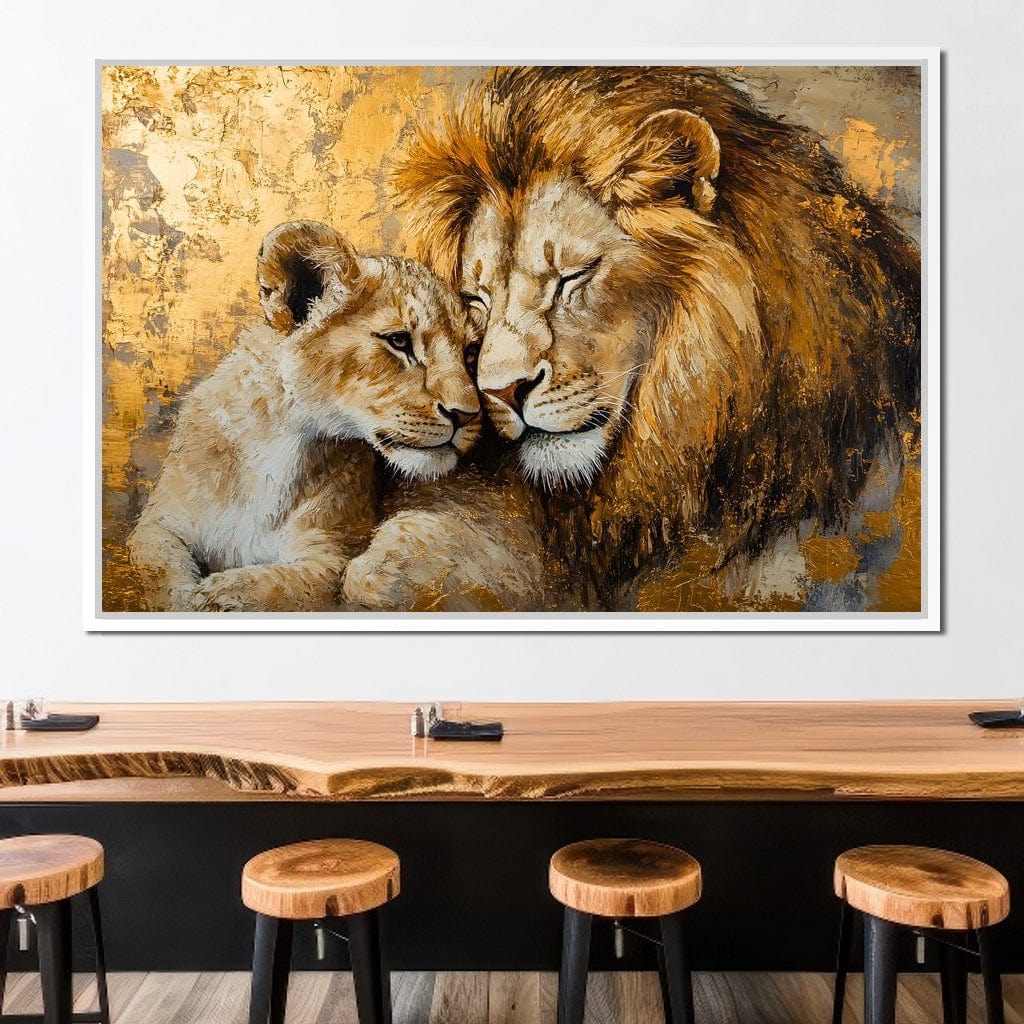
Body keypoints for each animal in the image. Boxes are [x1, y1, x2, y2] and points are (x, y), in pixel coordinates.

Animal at [128, 220, 482, 612]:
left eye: (469, 353)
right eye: (399, 341)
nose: (467, 414)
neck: (275, 437)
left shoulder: (329, 556)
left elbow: (272, 586)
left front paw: (216, 595)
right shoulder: (158, 525)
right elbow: (159, 570)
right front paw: (185, 598)